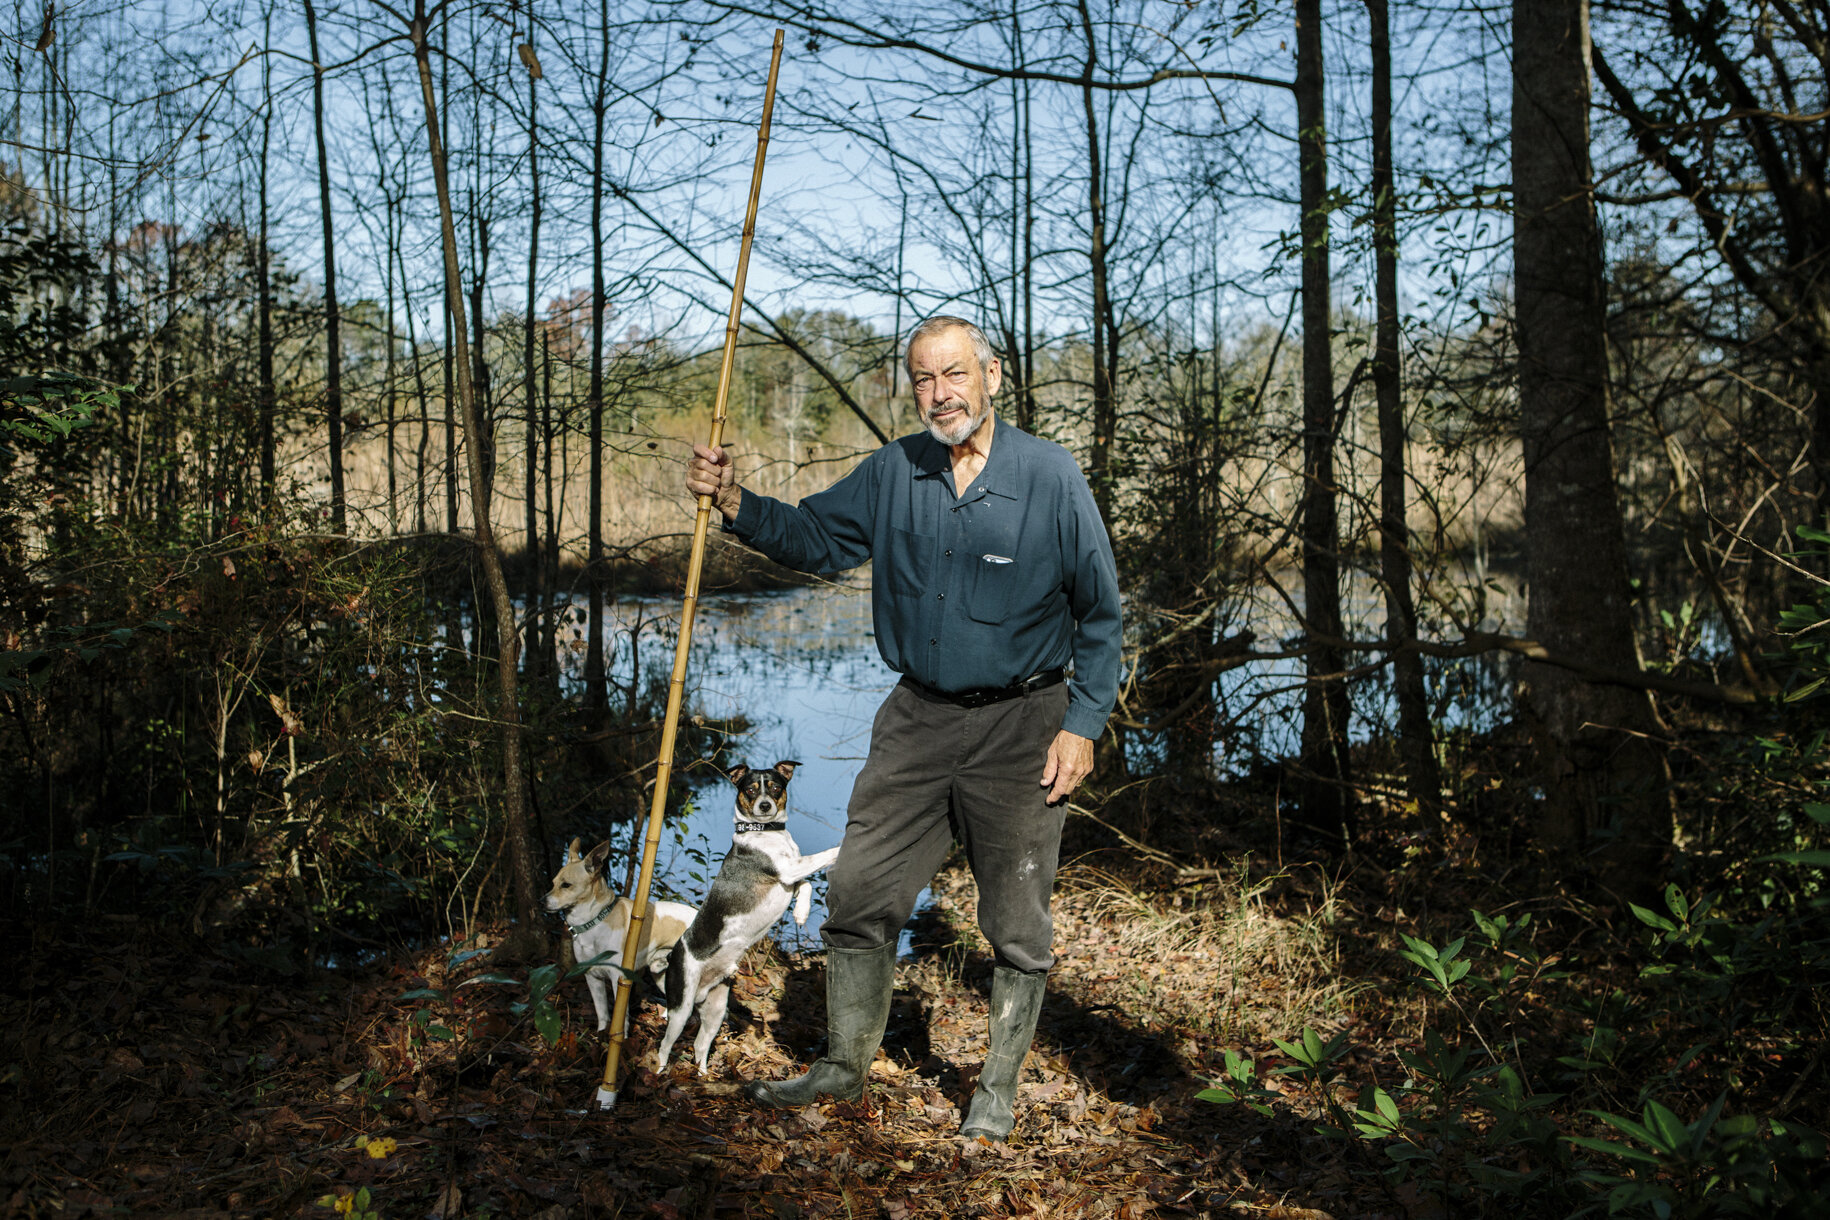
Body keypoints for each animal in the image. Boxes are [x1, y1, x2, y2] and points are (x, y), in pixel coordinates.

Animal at [651, 764, 838, 1075]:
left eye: (775, 787)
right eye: (750, 789)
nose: (765, 806)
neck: (765, 832)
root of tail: (672, 957)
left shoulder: (789, 878)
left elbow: (808, 885)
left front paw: (800, 913)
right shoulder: (787, 870)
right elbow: (824, 858)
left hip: (715, 1009)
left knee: (699, 1046)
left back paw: (705, 1076)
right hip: (681, 1008)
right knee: (664, 1047)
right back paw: (657, 1073)